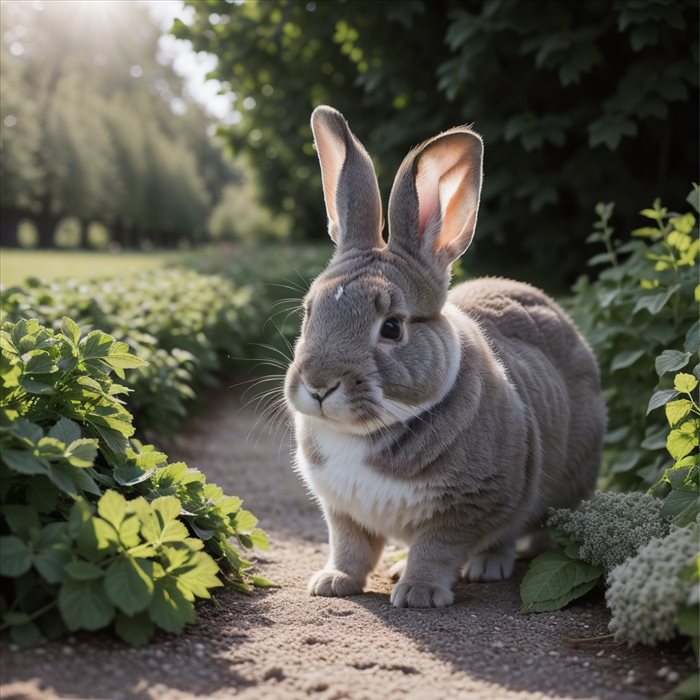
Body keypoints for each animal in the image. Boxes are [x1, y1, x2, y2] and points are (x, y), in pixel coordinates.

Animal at [284, 104, 608, 608]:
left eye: (392, 327)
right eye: (309, 311)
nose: (319, 386)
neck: (366, 431)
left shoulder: (470, 504)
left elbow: (437, 547)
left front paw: (418, 593)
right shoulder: (342, 511)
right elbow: (351, 546)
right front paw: (333, 583)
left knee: (514, 535)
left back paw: (486, 567)